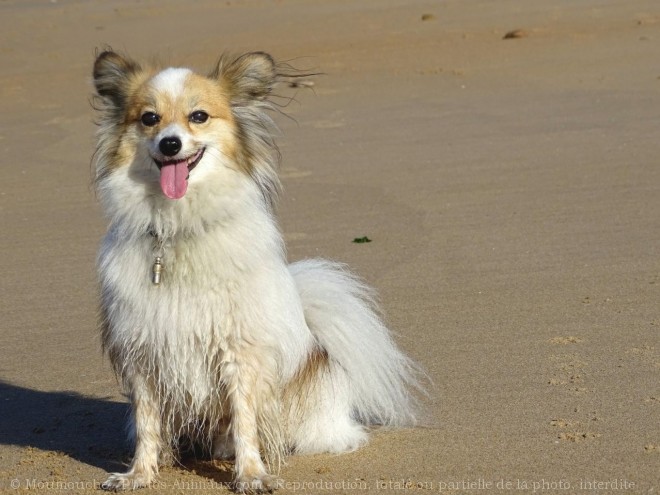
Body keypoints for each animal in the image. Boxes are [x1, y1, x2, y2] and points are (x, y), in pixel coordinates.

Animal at [91, 49, 422, 492]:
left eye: (199, 116)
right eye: (149, 118)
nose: (170, 143)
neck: (178, 227)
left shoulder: (238, 354)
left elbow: (245, 422)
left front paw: (250, 475)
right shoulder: (143, 353)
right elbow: (147, 425)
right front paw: (139, 475)